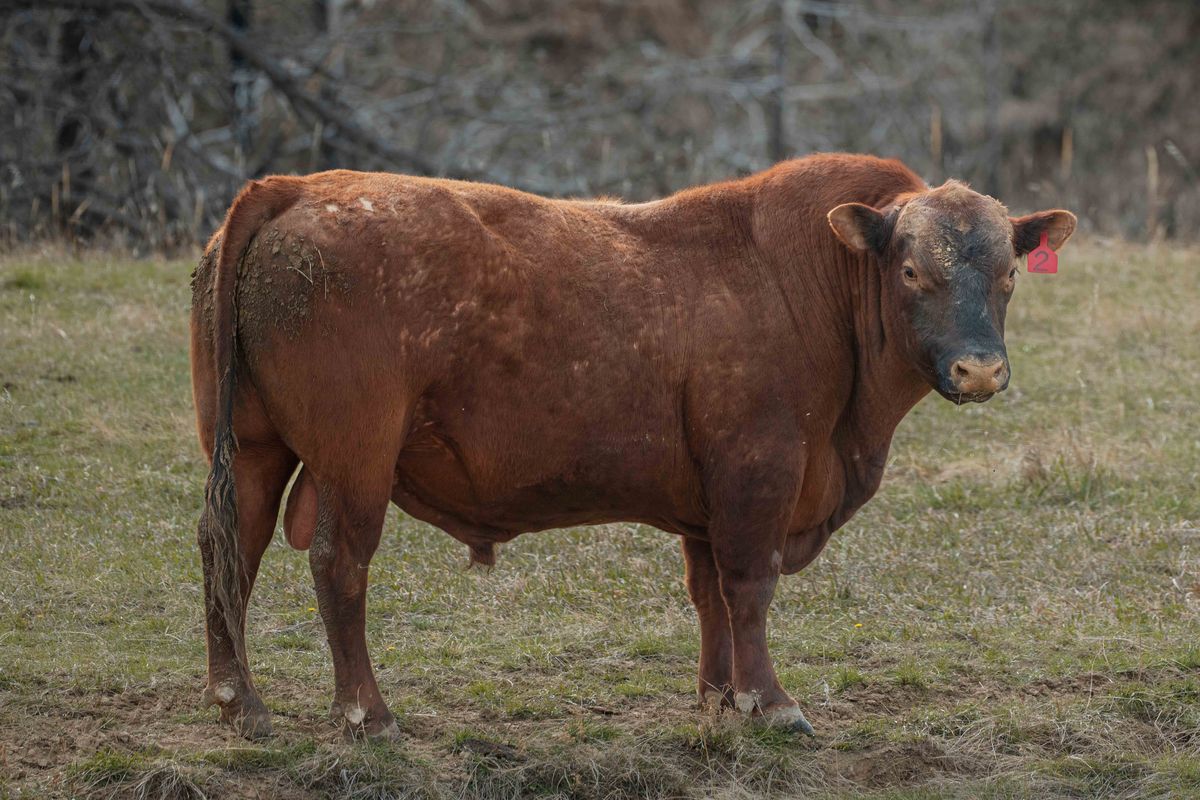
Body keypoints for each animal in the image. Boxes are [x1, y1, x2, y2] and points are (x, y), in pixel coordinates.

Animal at [190, 153, 1076, 740]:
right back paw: (366, 713)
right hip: (356, 463)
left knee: (230, 547)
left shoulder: (708, 499)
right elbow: (749, 588)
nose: (979, 369)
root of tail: (299, 187)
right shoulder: (759, 472)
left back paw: (240, 700)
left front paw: (719, 696)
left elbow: (710, 594)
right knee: (338, 564)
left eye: (1008, 272)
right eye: (913, 269)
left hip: (254, 450)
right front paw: (771, 702)